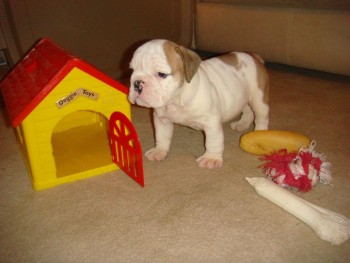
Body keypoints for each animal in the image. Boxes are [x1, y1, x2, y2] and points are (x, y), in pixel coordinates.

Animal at [129, 39, 268, 169]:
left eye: (161, 74)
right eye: (132, 70)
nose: (137, 83)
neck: (176, 99)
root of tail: (253, 56)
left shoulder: (211, 123)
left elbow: (213, 141)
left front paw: (211, 158)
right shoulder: (162, 120)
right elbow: (162, 136)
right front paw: (159, 151)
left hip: (258, 99)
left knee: (261, 117)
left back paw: (259, 135)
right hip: (243, 96)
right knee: (247, 111)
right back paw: (242, 124)